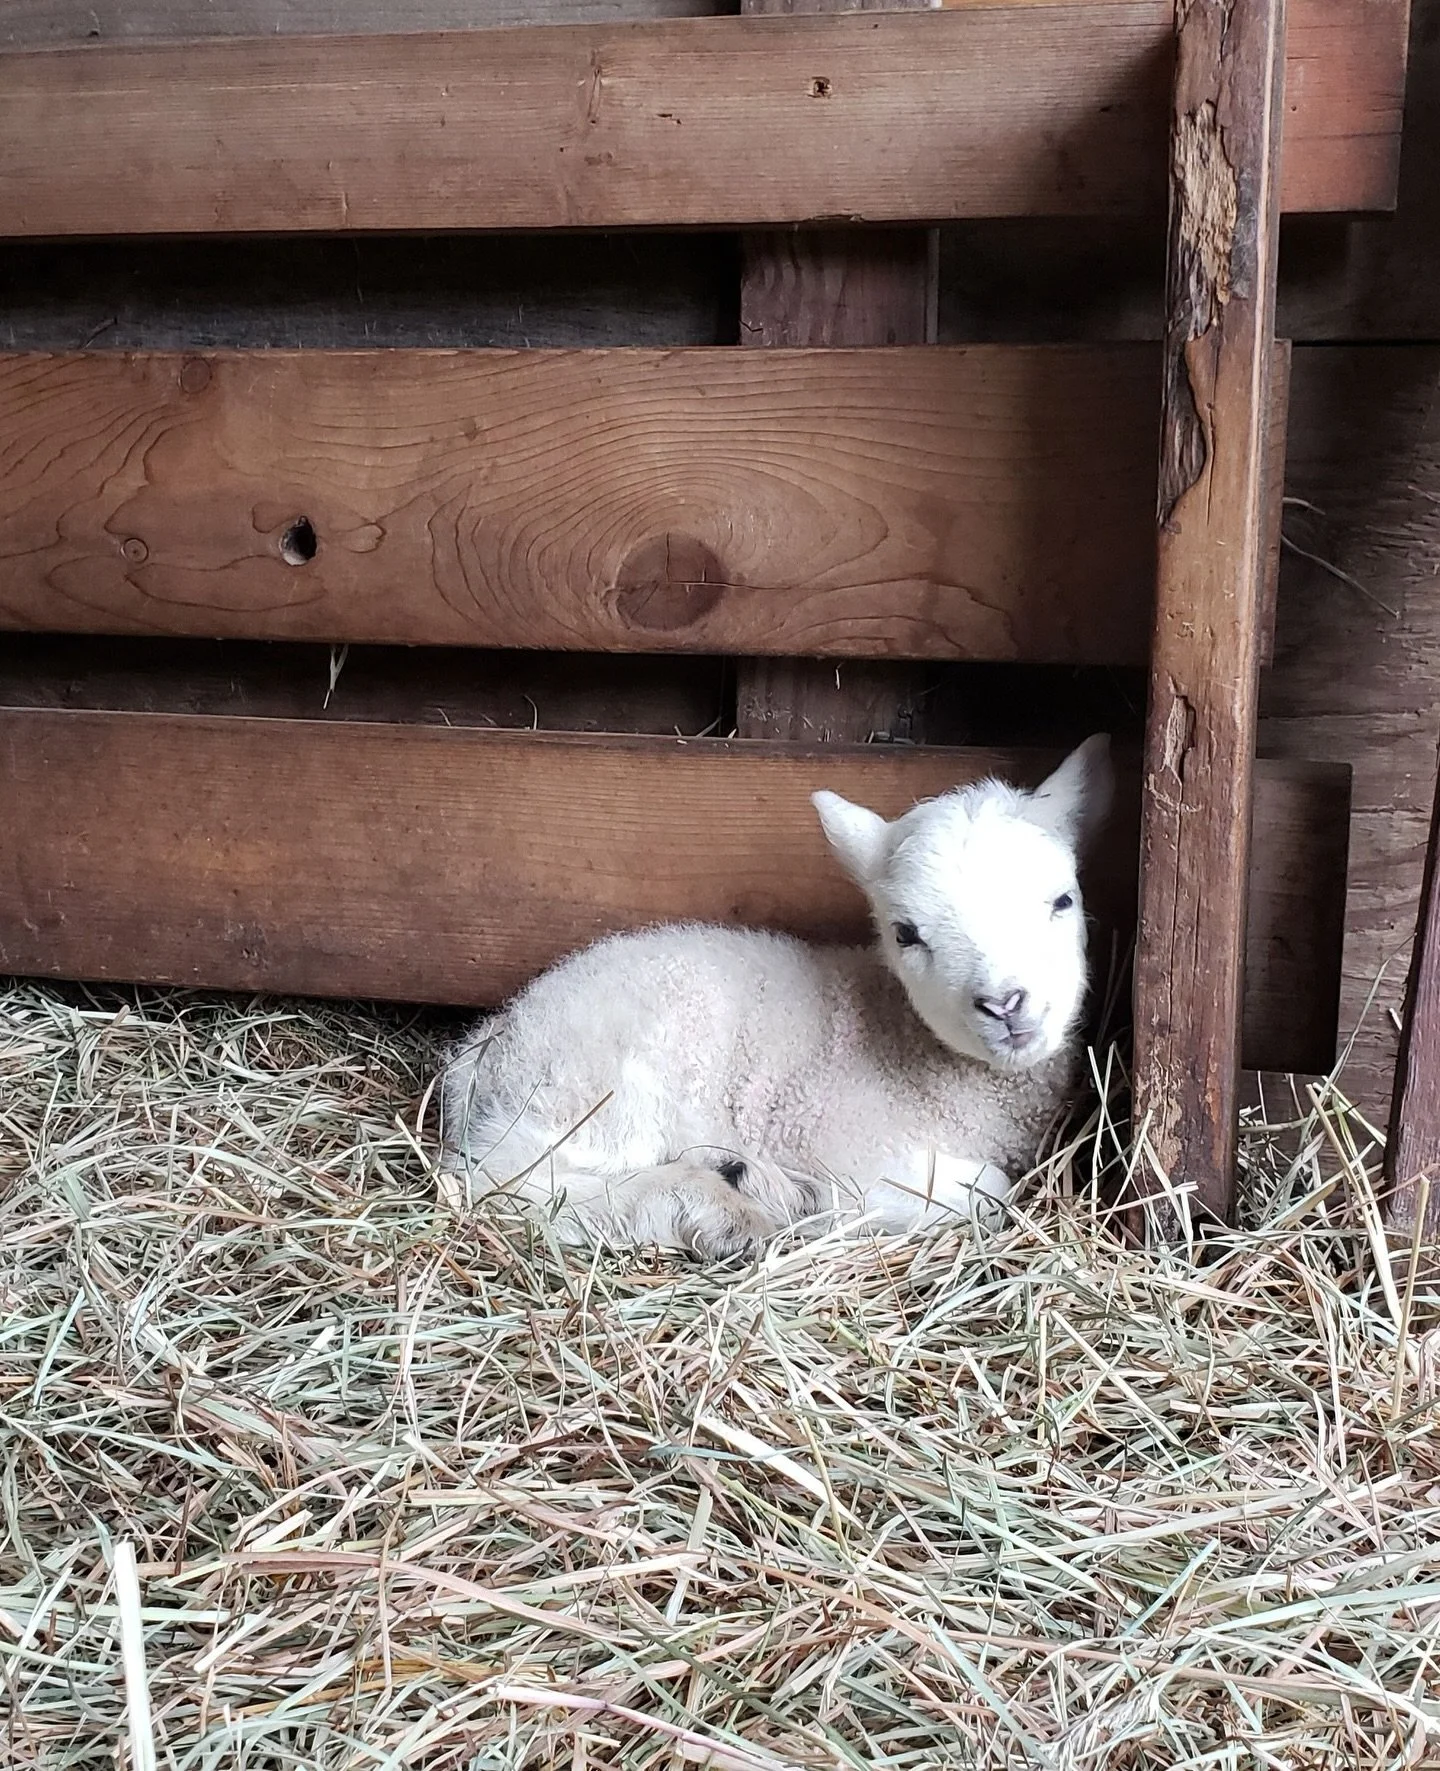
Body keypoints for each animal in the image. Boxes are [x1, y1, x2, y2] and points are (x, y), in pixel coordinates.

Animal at [441, 734, 1113, 1259]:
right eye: (905, 932)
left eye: (1064, 899)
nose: (1005, 1005)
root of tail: (491, 1041)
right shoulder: (844, 1144)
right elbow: (982, 1192)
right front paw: (805, 1196)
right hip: (605, 1085)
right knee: (510, 1180)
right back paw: (720, 1206)